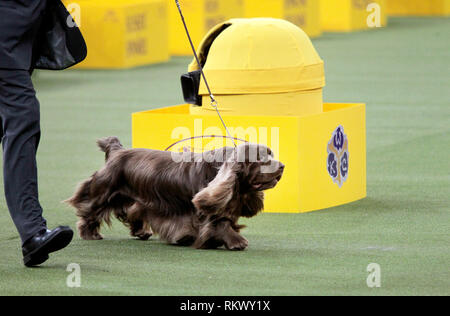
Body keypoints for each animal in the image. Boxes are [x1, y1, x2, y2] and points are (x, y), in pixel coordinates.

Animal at [65, 137, 284, 251]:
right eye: (261, 159)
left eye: (271, 154)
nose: (282, 166)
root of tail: (117, 151)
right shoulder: (205, 211)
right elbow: (219, 223)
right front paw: (236, 242)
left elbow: (225, 221)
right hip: (105, 191)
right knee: (90, 210)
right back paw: (90, 234)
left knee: (133, 212)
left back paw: (142, 232)